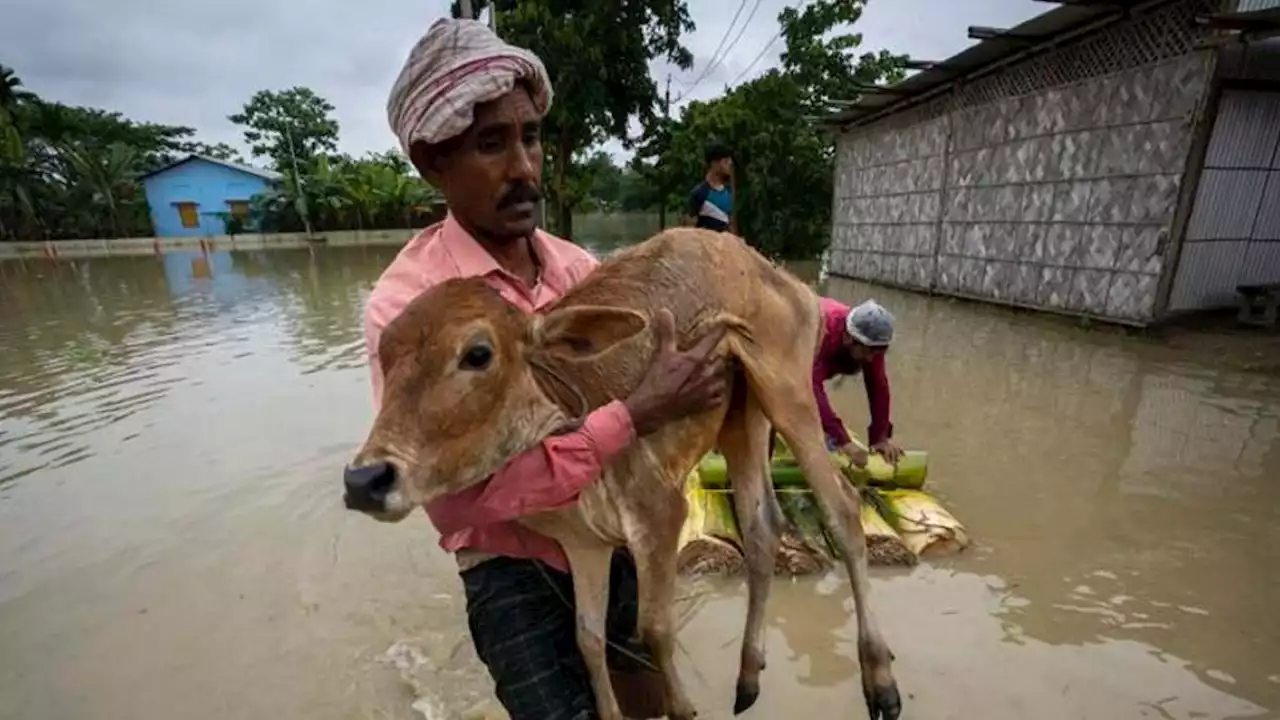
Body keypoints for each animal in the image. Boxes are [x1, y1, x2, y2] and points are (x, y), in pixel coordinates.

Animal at [340, 225, 901, 717]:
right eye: (384, 356)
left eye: (478, 354)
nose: (365, 481)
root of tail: (778, 274)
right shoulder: (584, 545)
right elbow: (588, 640)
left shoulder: (660, 513)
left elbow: (653, 629)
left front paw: (682, 708)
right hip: (742, 418)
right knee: (762, 528)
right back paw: (747, 678)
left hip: (787, 391)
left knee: (843, 509)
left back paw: (881, 681)